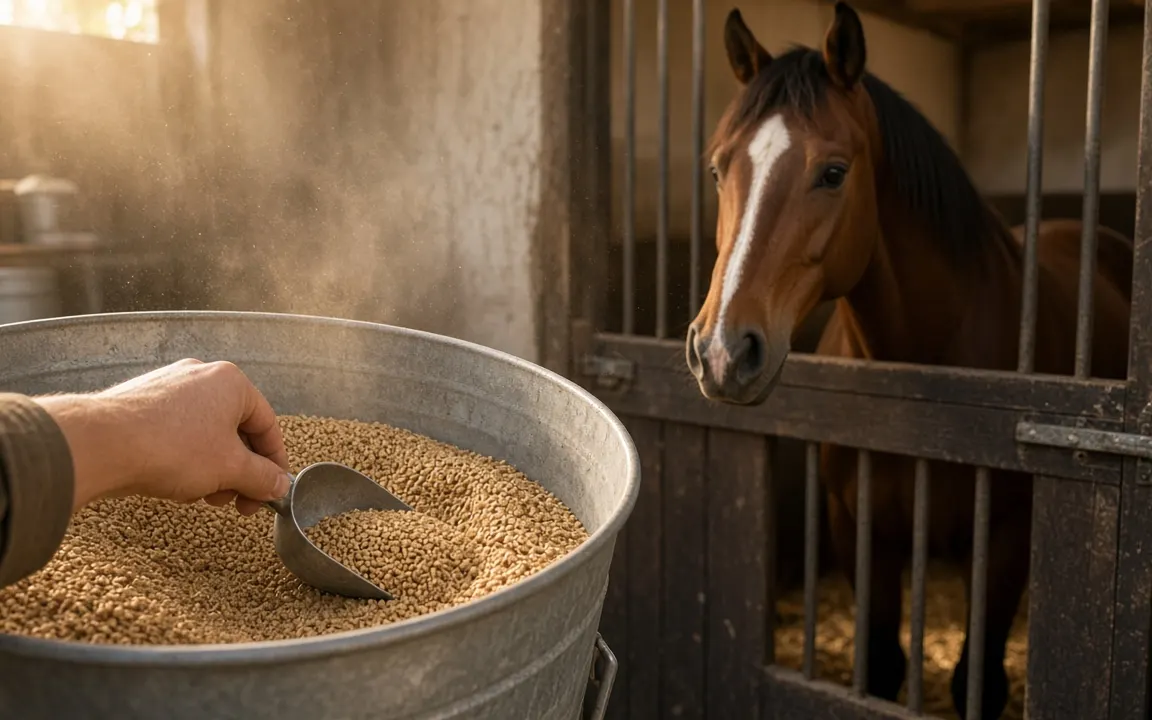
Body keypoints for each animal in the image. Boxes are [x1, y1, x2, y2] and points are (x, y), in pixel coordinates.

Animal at [684, 3, 1134, 718]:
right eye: (717, 170)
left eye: (833, 172)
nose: (723, 353)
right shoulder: (859, 531)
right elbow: (880, 667)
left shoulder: (1004, 543)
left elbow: (978, 678)